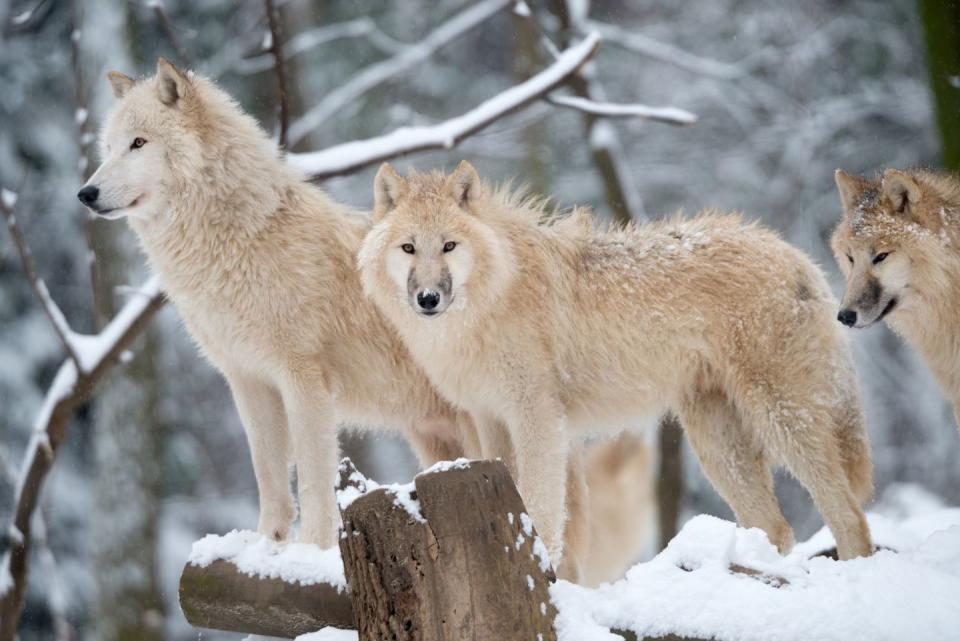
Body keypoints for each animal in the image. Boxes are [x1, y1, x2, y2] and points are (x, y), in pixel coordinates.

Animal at [360, 160, 876, 560]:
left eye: (449, 246)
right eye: (408, 247)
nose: (428, 298)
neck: (491, 299)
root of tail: (796, 256)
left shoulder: (538, 419)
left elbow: (542, 509)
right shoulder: (489, 419)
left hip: (782, 420)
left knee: (849, 516)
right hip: (717, 445)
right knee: (777, 528)